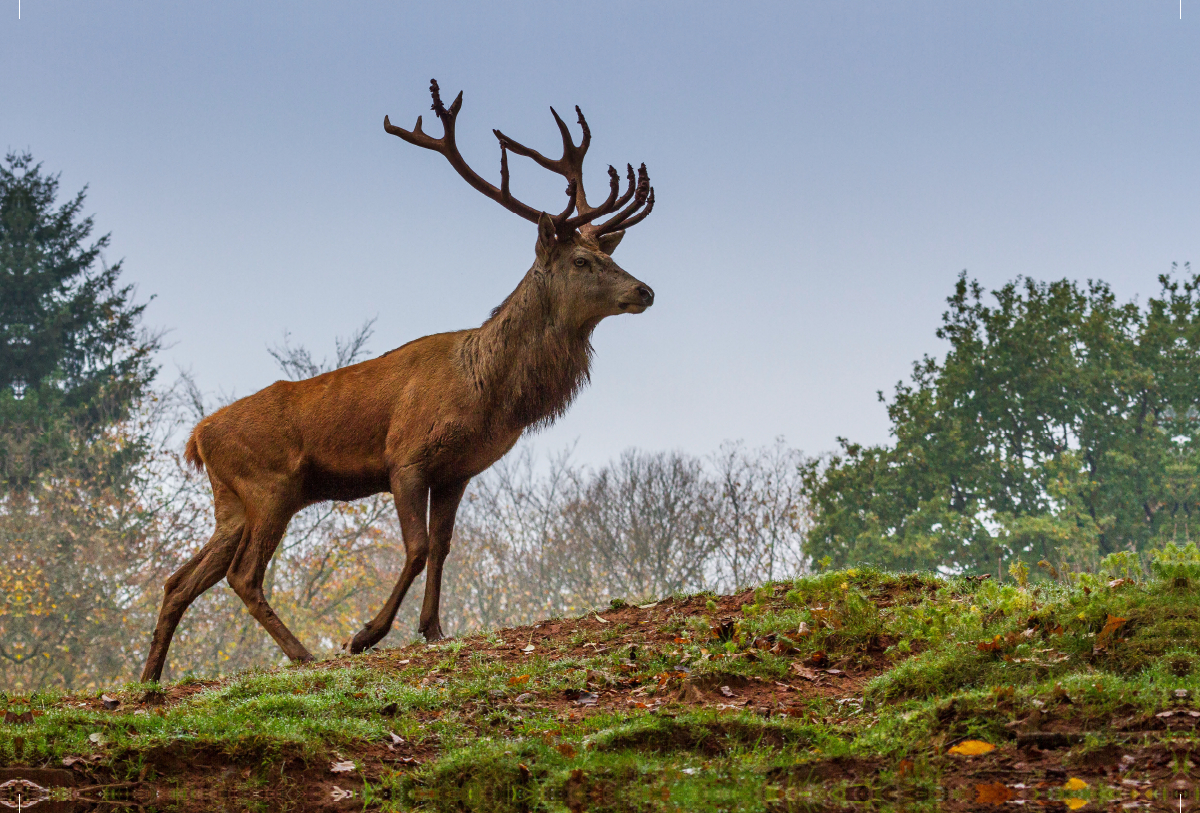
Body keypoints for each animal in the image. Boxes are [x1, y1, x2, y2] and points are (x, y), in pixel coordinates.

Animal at [145, 80, 662, 681]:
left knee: (180, 580)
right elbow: (415, 548)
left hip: (230, 501)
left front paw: (434, 629)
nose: (645, 290)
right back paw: (303, 654)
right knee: (242, 574)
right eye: (581, 260)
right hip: (269, 485)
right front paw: (366, 636)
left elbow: (441, 547)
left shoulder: (458, 470)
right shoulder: (405, 457)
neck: (488, 392)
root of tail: (197, 438)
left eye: (607, 254)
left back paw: (148, 678)